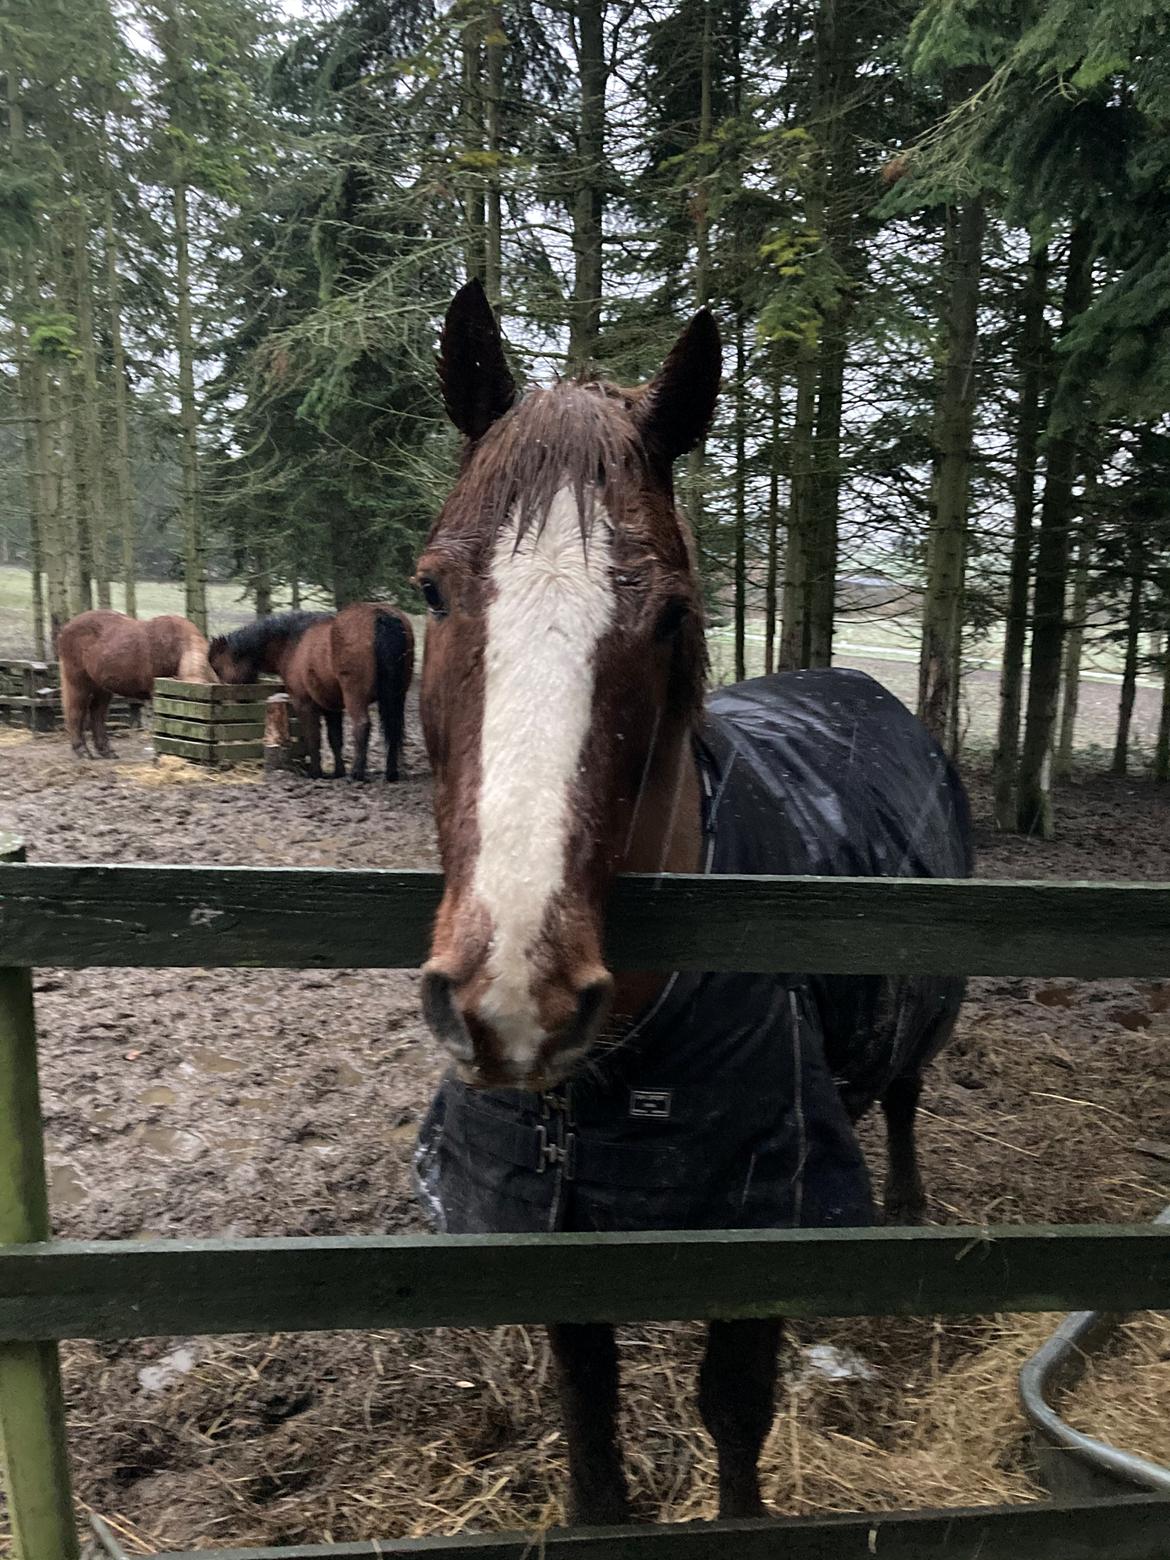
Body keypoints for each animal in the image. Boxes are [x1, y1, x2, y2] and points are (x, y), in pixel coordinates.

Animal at [59, 605, 216, 758]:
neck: (177, 646)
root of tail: (66, 628)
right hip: (78, 683)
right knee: (76, 712)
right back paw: (81, 750)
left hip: (101, 687)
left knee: (97, 714)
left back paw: (106, 750)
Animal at [209, 605, 414, 786]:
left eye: (218, 668)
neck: (293, 642)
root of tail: (381, 616)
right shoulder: (332, 706)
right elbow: (335, 739)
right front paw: (338, 772)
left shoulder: (304, 703)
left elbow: (313, 737)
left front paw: (315, 773)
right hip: (397, 696)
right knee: (394, 729)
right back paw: (391, 773)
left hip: (356, 698)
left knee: (362, 726)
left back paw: (357, 774)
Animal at [411, 280, 973, 1522]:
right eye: (431, 589)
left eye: (671, 612)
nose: (515, 995)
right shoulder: (546, 1229)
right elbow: (589, 1413)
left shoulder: (761, 1220)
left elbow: (735, 1410)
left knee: (906, 1099)